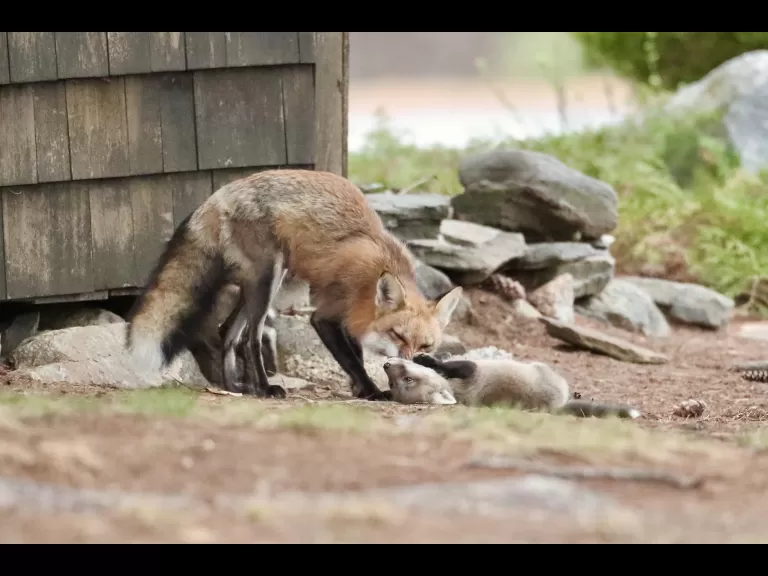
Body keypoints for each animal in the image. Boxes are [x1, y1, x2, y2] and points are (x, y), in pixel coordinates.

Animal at [125, 169, 463, 401]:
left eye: (426, 345)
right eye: (397, 334)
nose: (410, 363)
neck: (372, 278)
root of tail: (218, 194)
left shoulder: (350, 318)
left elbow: (355, 355)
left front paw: (360, 389)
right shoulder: (326, 315)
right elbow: (353, 360)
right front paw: (371, 390)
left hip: (259, 287)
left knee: (227, 334)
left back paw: (235, 387)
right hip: (269, 279)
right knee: (251, 339)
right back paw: (264, 387)